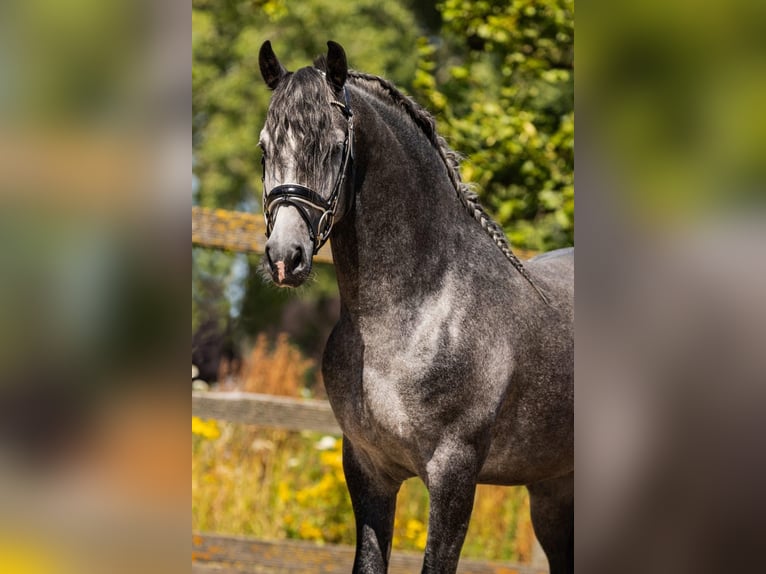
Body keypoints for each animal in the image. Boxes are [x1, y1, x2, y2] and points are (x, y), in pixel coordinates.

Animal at [258, 41, 576, 574]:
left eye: (335, 145)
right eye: (264, 147)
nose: (286, 257)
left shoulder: (453, 475)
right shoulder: (367, 469)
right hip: (553, 489)